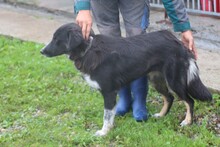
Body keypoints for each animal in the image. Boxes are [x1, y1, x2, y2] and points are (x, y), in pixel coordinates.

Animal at [40, 23, 212, 137]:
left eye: (56, 39)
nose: (42, 51)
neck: (87, 50)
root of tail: (180, 43)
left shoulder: (108, 92)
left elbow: (106, 115)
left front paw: (104, 132)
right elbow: (110, 114)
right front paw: (109, 129)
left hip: (173, 81)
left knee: (189, 101)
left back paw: (187, 122)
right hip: (156, 79)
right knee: (169, 98)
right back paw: (161, 115)